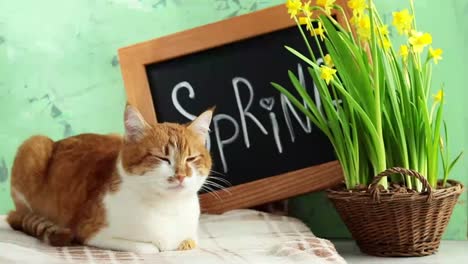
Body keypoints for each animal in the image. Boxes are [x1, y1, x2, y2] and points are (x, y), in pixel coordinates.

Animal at [7, 104, 214, 253]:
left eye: (191, 158)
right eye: (162, 158)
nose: (181, 175)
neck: (169, 208)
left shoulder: (190, 237)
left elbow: (190, 242)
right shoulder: (91, 233)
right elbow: (150, 248)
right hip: (34, 144)